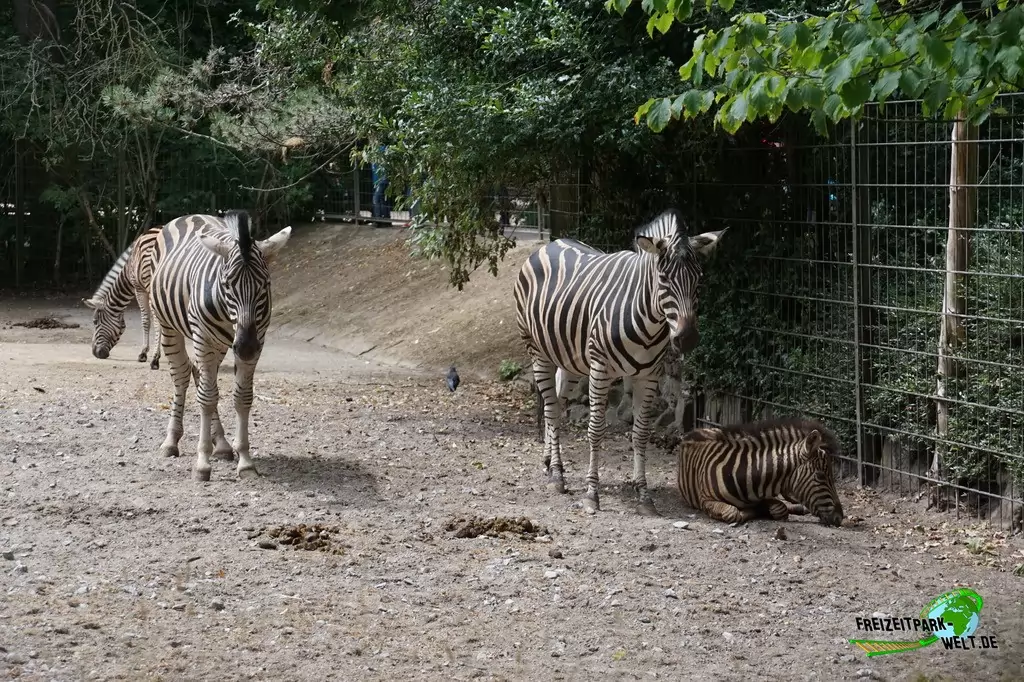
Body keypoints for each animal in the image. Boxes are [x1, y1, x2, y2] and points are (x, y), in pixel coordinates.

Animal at [83, 225, 164, 369]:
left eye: (95, 322)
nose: (95, 353)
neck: (128, 269)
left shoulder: (140, 288)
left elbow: (146, 320)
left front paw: (144, 353)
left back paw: (154, 359)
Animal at [150, 211, 291, 481]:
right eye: (227, 284)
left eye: (265, 285)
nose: (245, 347)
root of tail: (190, 215)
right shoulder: (204, 337)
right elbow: (206, 398)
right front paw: (202, 464)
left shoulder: (258, 339)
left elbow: (242, 397)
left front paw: (245, 460)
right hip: (169, 327)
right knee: (183, 377)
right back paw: (171, 441)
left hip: (218, 345)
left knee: (201, 376)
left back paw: (223, 445)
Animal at [514, 208, 726, 516]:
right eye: (663, 279)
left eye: (699, 279)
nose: (687, 338)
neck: (648, 320)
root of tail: (549, 243)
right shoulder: (600, 369)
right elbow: (595, 430)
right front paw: (592, 493)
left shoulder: (648, 376)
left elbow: (640, 433)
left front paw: (644, 494)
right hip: (537, 350)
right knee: (551, 410)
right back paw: (557, 475)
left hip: (569, 359)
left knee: (558, 404)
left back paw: (550, 462)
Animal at [676, 418, 845, 526]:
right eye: (820, 476)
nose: (840, 517)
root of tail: (696, 430)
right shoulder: (706, 500)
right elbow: (733, 513)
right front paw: (754, 511)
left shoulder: (766, 492)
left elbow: (780, 508)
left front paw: (763, 509)